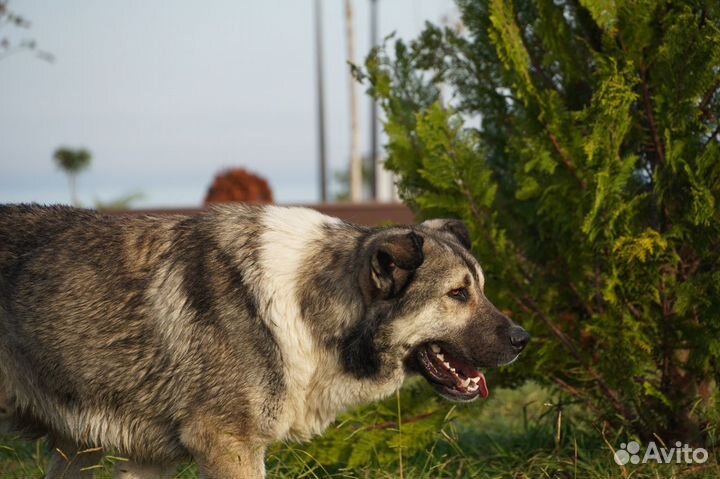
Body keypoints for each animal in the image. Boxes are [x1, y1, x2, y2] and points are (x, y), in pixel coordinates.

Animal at [0, 203, 528, 479]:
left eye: (480, 289)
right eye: (458, 294)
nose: (524, 338)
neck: (305, 308)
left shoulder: (146, 460)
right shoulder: (228, 447)